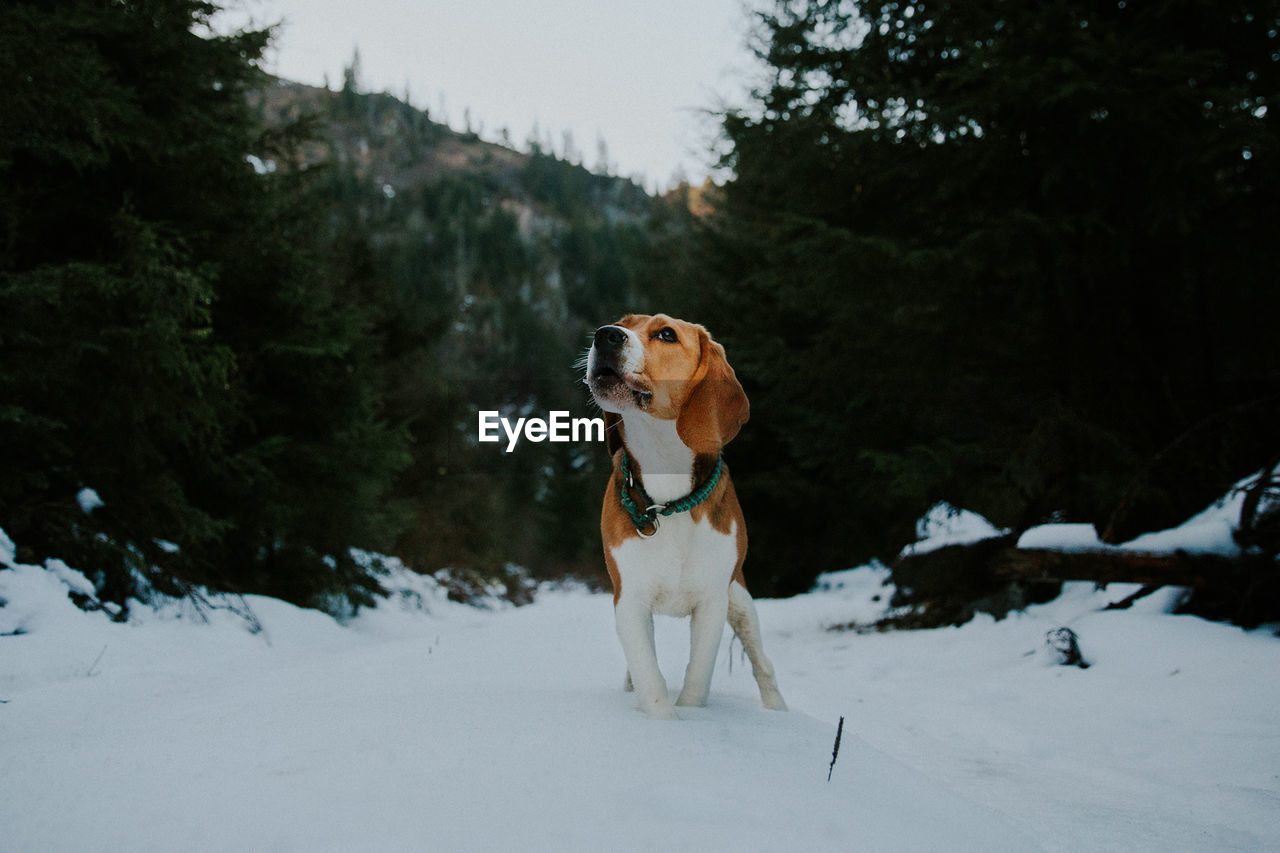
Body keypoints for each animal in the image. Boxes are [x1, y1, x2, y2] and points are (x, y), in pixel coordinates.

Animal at [586, 313, 783, 717]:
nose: (605, 335)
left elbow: (698, 677)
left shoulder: (712, 602)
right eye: (622, 322)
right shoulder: (630, 601)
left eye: (666, 334)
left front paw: (691, 716)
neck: (667, 498)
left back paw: (777, 709)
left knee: (762, 662)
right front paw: (666, 723)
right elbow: (649, 678)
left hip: (740, 600)